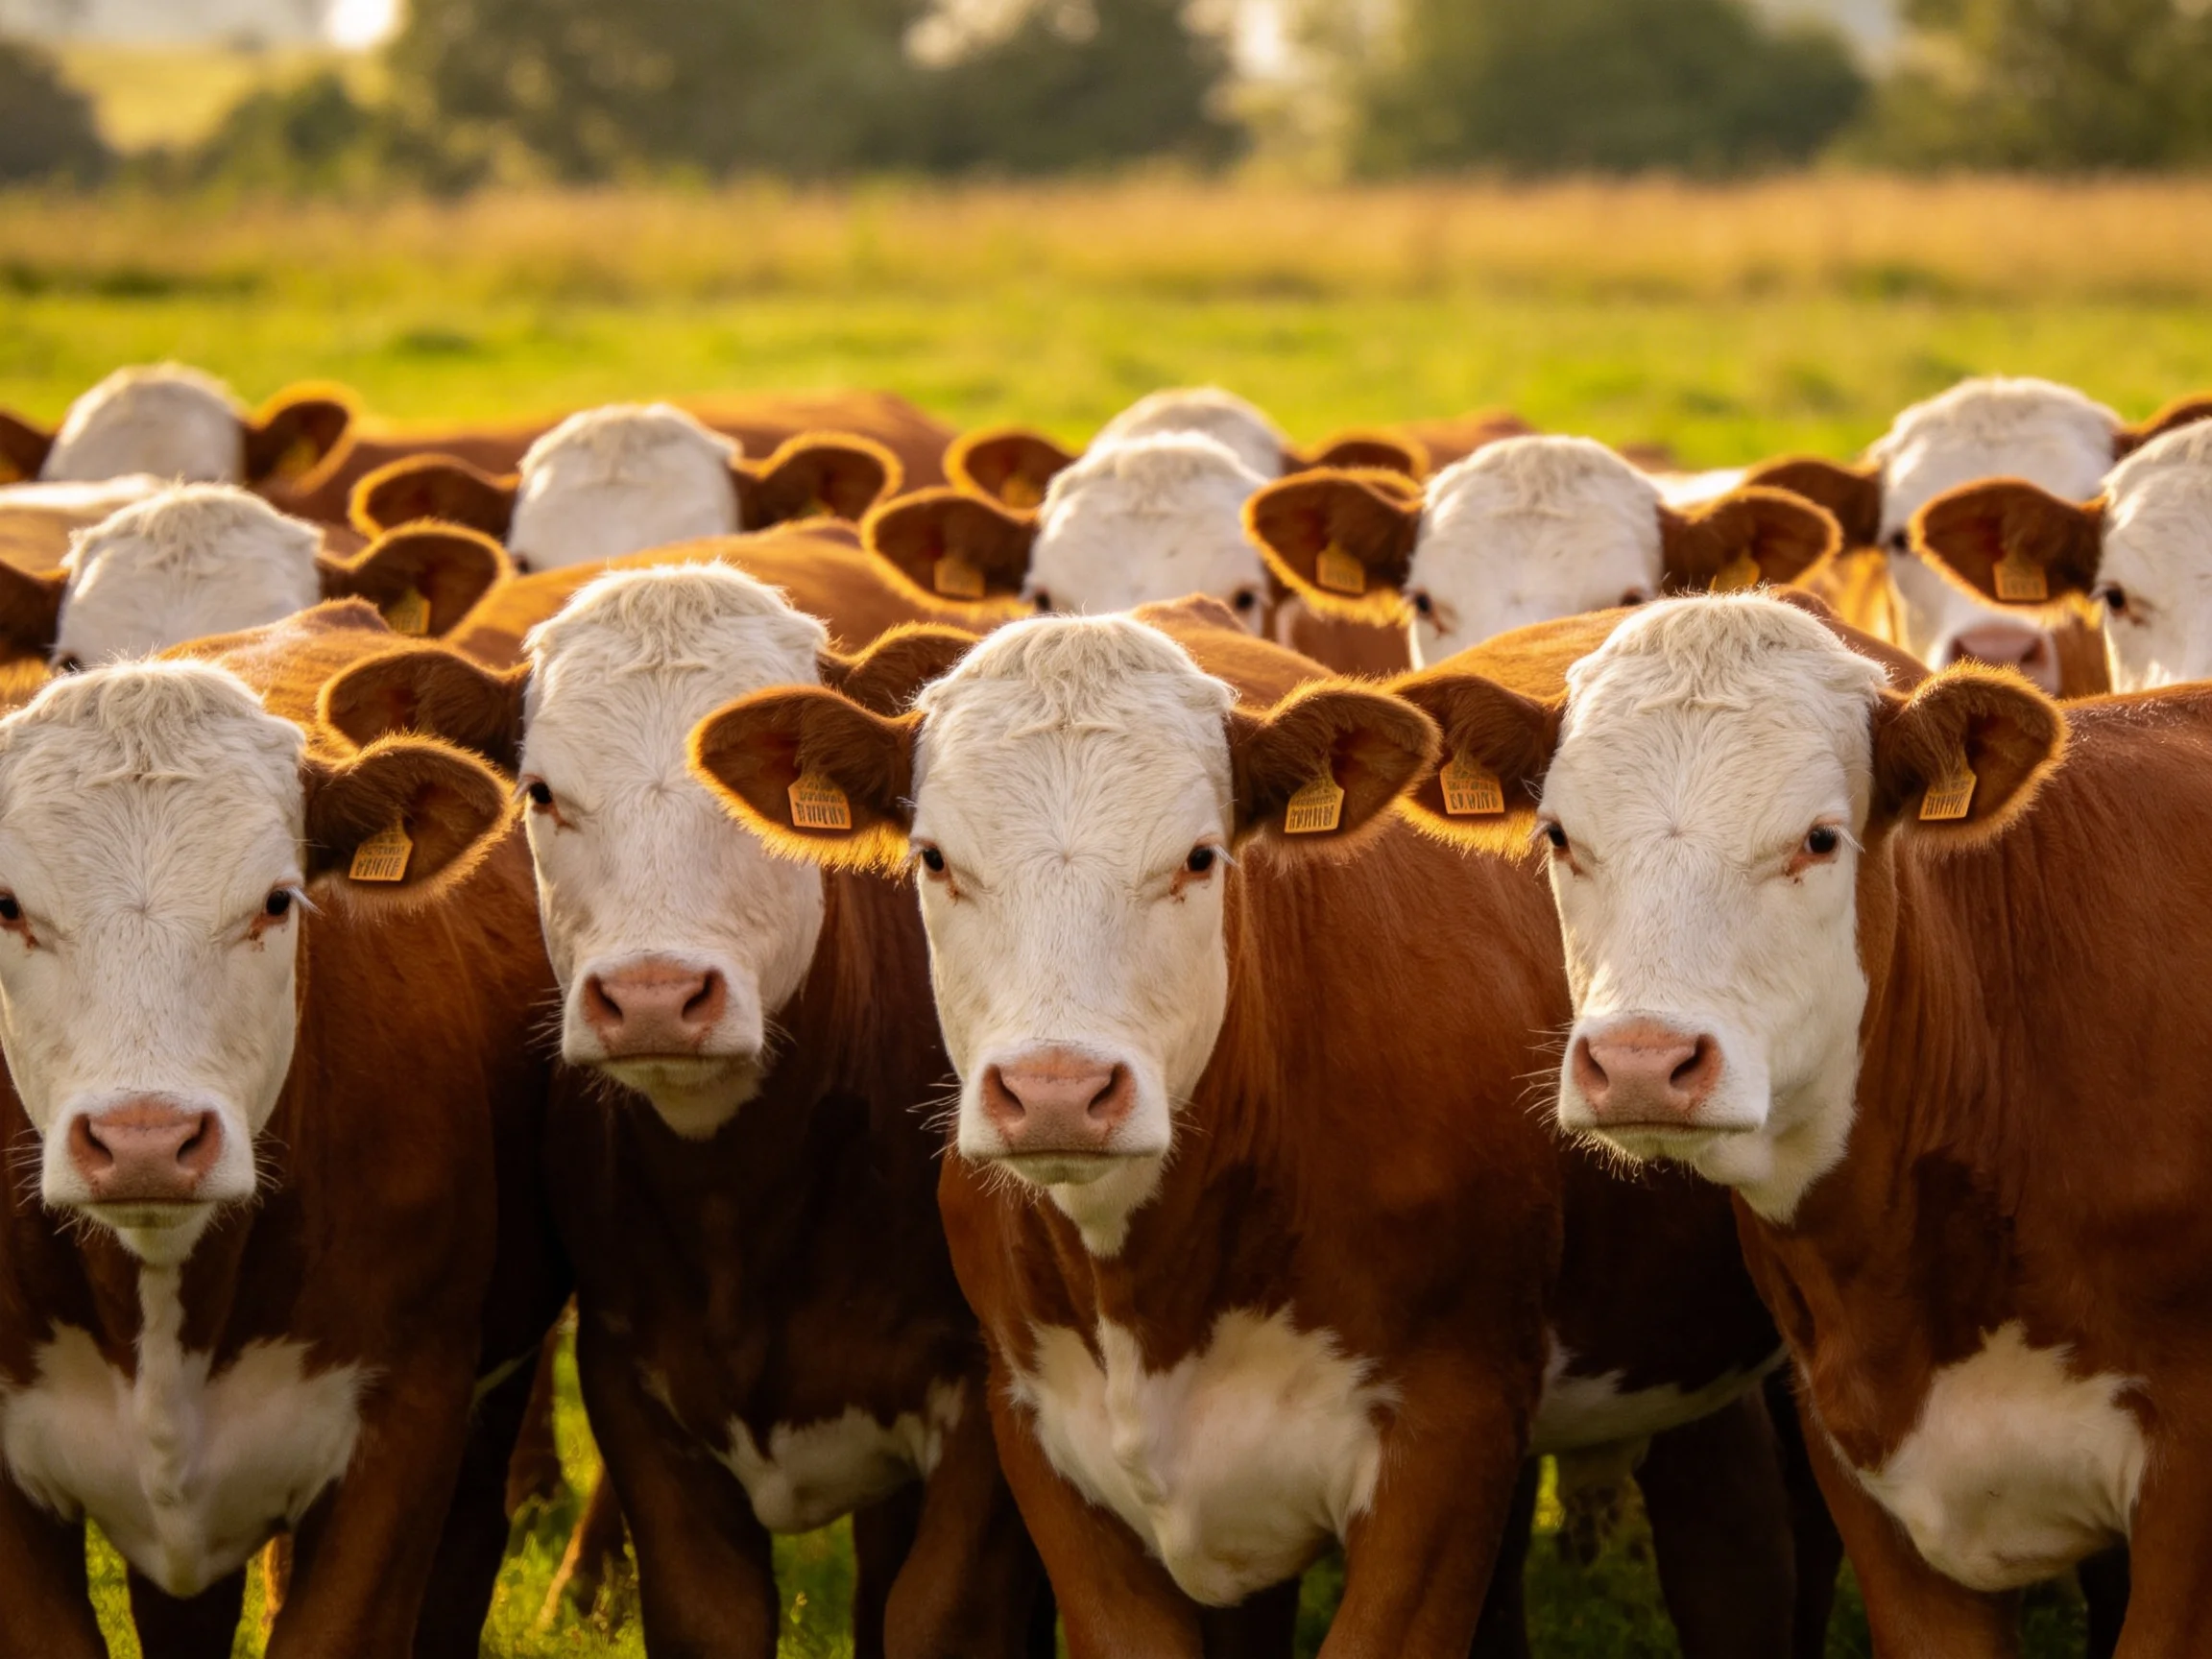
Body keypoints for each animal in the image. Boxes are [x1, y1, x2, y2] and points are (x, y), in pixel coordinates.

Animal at [316, 566, 1044, 1658]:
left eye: (766, 796)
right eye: (541, 791)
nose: (654, 995)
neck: (740, 1208)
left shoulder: (983, 1409)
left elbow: (934, 1614)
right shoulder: (638, 1393)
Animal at [684, 598, 1823, 1659]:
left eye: (1198, 857)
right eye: (932, 858)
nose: (1057, 1090)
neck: (1155, 1290)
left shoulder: (1447, 1444)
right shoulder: (1042, 1443)